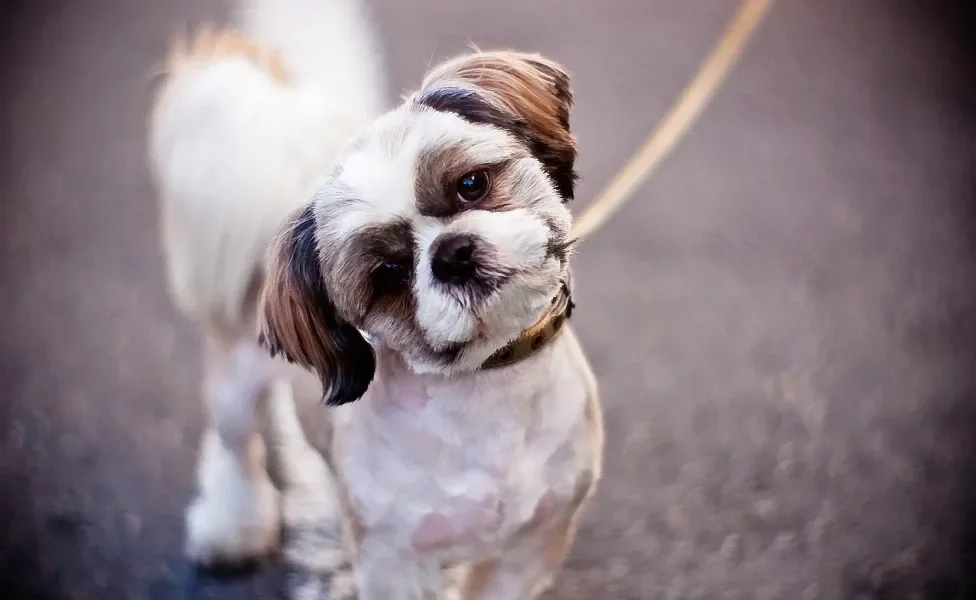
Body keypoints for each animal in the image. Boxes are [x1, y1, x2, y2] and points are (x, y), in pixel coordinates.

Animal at [151, 0, 604, 596]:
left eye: (471, 184)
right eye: (387, 273)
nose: (452, 253)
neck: (487, 386)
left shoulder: (531, 547)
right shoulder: (393, 560)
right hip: (234, 380)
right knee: (233, 438)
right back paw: (231, 526)